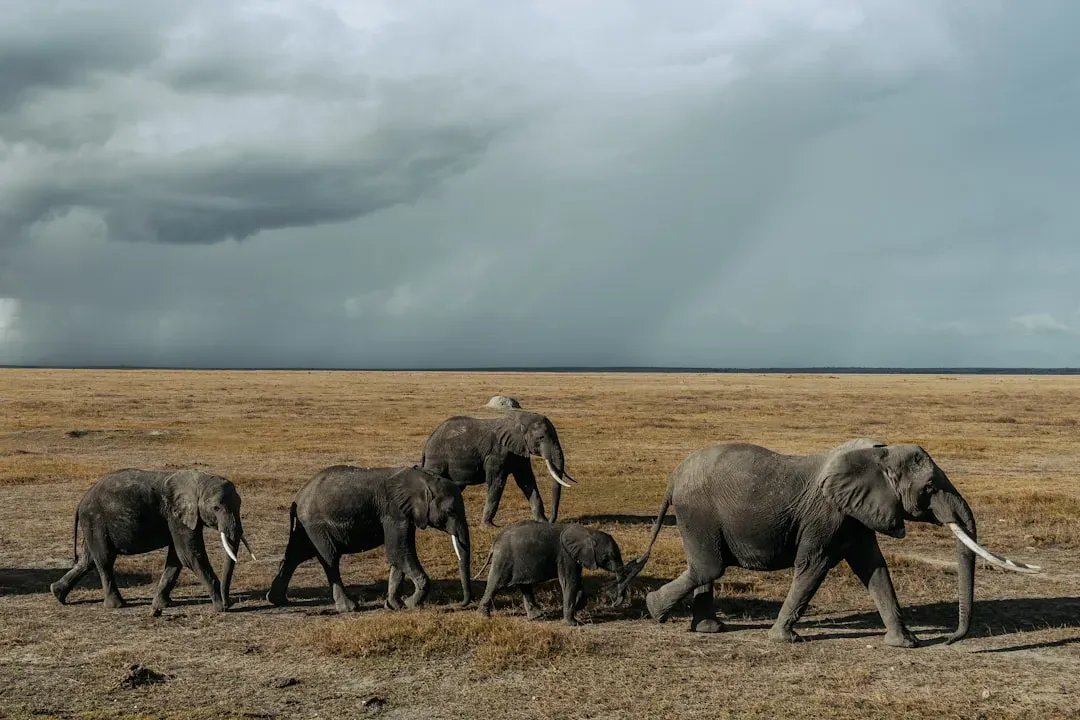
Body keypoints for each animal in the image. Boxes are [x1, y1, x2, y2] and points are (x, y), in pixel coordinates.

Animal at [49, 468, 254, 614]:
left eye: (240, 504)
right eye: (216, 508)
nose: (229, 602)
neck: (200, 481)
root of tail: (80, 502)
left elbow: (177, 558)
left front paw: (162, 605)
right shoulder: (176, 515)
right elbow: (189, 555)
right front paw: (220, 608)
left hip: (93, 524)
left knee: (88, 560)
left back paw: (57, 593)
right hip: (95, 520)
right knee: (105, 559)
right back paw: (117, 605)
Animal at [265, 465, 472, 613]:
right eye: (450, 511)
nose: (460, 605)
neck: (422, 478)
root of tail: (298, 498)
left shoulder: (405, 515)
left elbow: (398, 557)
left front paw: (394, 606)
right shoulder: (393, 513)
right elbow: (399, 552)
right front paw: (410, 604)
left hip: (305, 526)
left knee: (295, 556)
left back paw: (277, 600)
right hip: (316, 524)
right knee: (329, 559)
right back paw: (349, 608)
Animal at [421, 410, 576, 527]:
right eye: (541, 437)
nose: (551, 521)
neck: (518, 419)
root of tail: (427, 443)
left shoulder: (519, 451)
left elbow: (527, 481)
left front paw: (541, 521)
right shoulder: (496, 454)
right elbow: (497, 482)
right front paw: (489, 526)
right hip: (436, 460)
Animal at [476, 519, 625, 626]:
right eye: (609, 556)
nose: (614, 604)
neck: (588, 532)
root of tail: (494, 543)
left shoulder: (574, 556)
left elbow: (576, 581)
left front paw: (578, 605)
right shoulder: (565, 555)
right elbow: (569, 582)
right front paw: (572, 624)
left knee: (524, 586)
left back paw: (537, 616)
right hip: (504, 559)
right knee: (496, 583)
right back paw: (484, 616)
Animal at [615, 439, 1040, 647]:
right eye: (930, 488)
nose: (951, 640)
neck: (877, 455)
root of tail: (673, 476)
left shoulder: (857, 514)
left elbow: (875, 570)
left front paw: (906, 644)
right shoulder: (828, 513)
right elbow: (814, 566)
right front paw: (785, 640)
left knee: (705, 568)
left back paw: (706, 629)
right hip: (697, 511)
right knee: (709, 567)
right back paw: (655, 610)